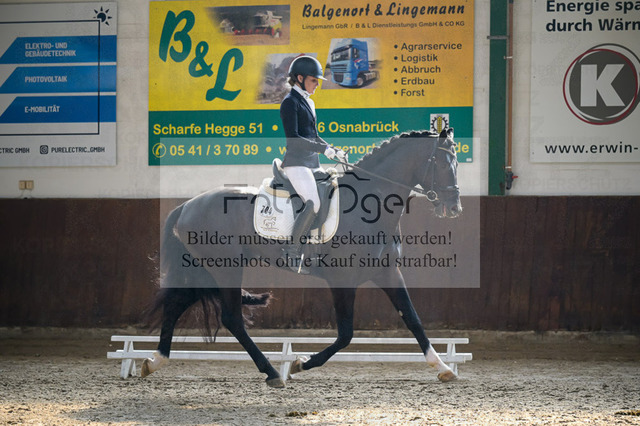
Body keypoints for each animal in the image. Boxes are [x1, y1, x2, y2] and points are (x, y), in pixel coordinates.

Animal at [142, 128, 462, 388]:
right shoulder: (343, 279)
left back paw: (154, 362)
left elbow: (413, 319)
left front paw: (442, 367)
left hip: (206, 268)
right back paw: (272, 373)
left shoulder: (387, 272)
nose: (454, 207)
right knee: (232, 318)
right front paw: (300, 363)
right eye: (442, 163)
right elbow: (346, 334)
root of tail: (187, 205)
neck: (368, 205)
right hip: (225, 268)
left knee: (176, 304)